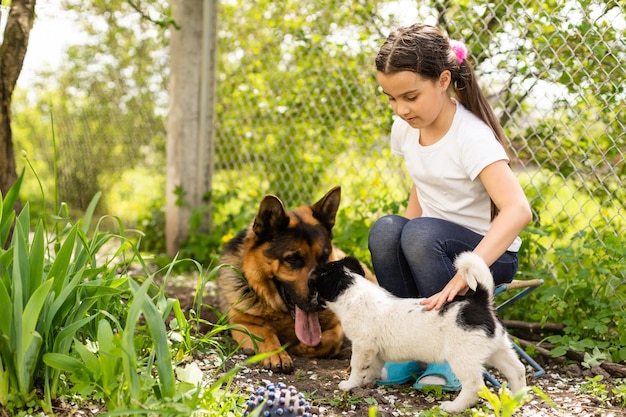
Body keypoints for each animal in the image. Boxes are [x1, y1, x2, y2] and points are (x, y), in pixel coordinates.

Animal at [217, 185, 372, 370]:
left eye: (324, 256)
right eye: (293, 259)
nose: (320, 300)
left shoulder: (336, 327)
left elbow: (329, 341)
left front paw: (300, 348)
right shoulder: (241, 323)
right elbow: (264, 333)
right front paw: (276, 353)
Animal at [308, 252, 528, 412]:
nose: (309, 304)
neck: (352, 290)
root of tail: (481, 301)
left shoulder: (362, 345)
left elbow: (356, 366)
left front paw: (349, 384)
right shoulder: (374, 350)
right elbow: (374, 367)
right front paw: (370, 381)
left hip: (463, 357)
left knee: (474, 385)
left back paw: (453, 407)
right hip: (499, 349)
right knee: (517, 370)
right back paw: (517, 400)